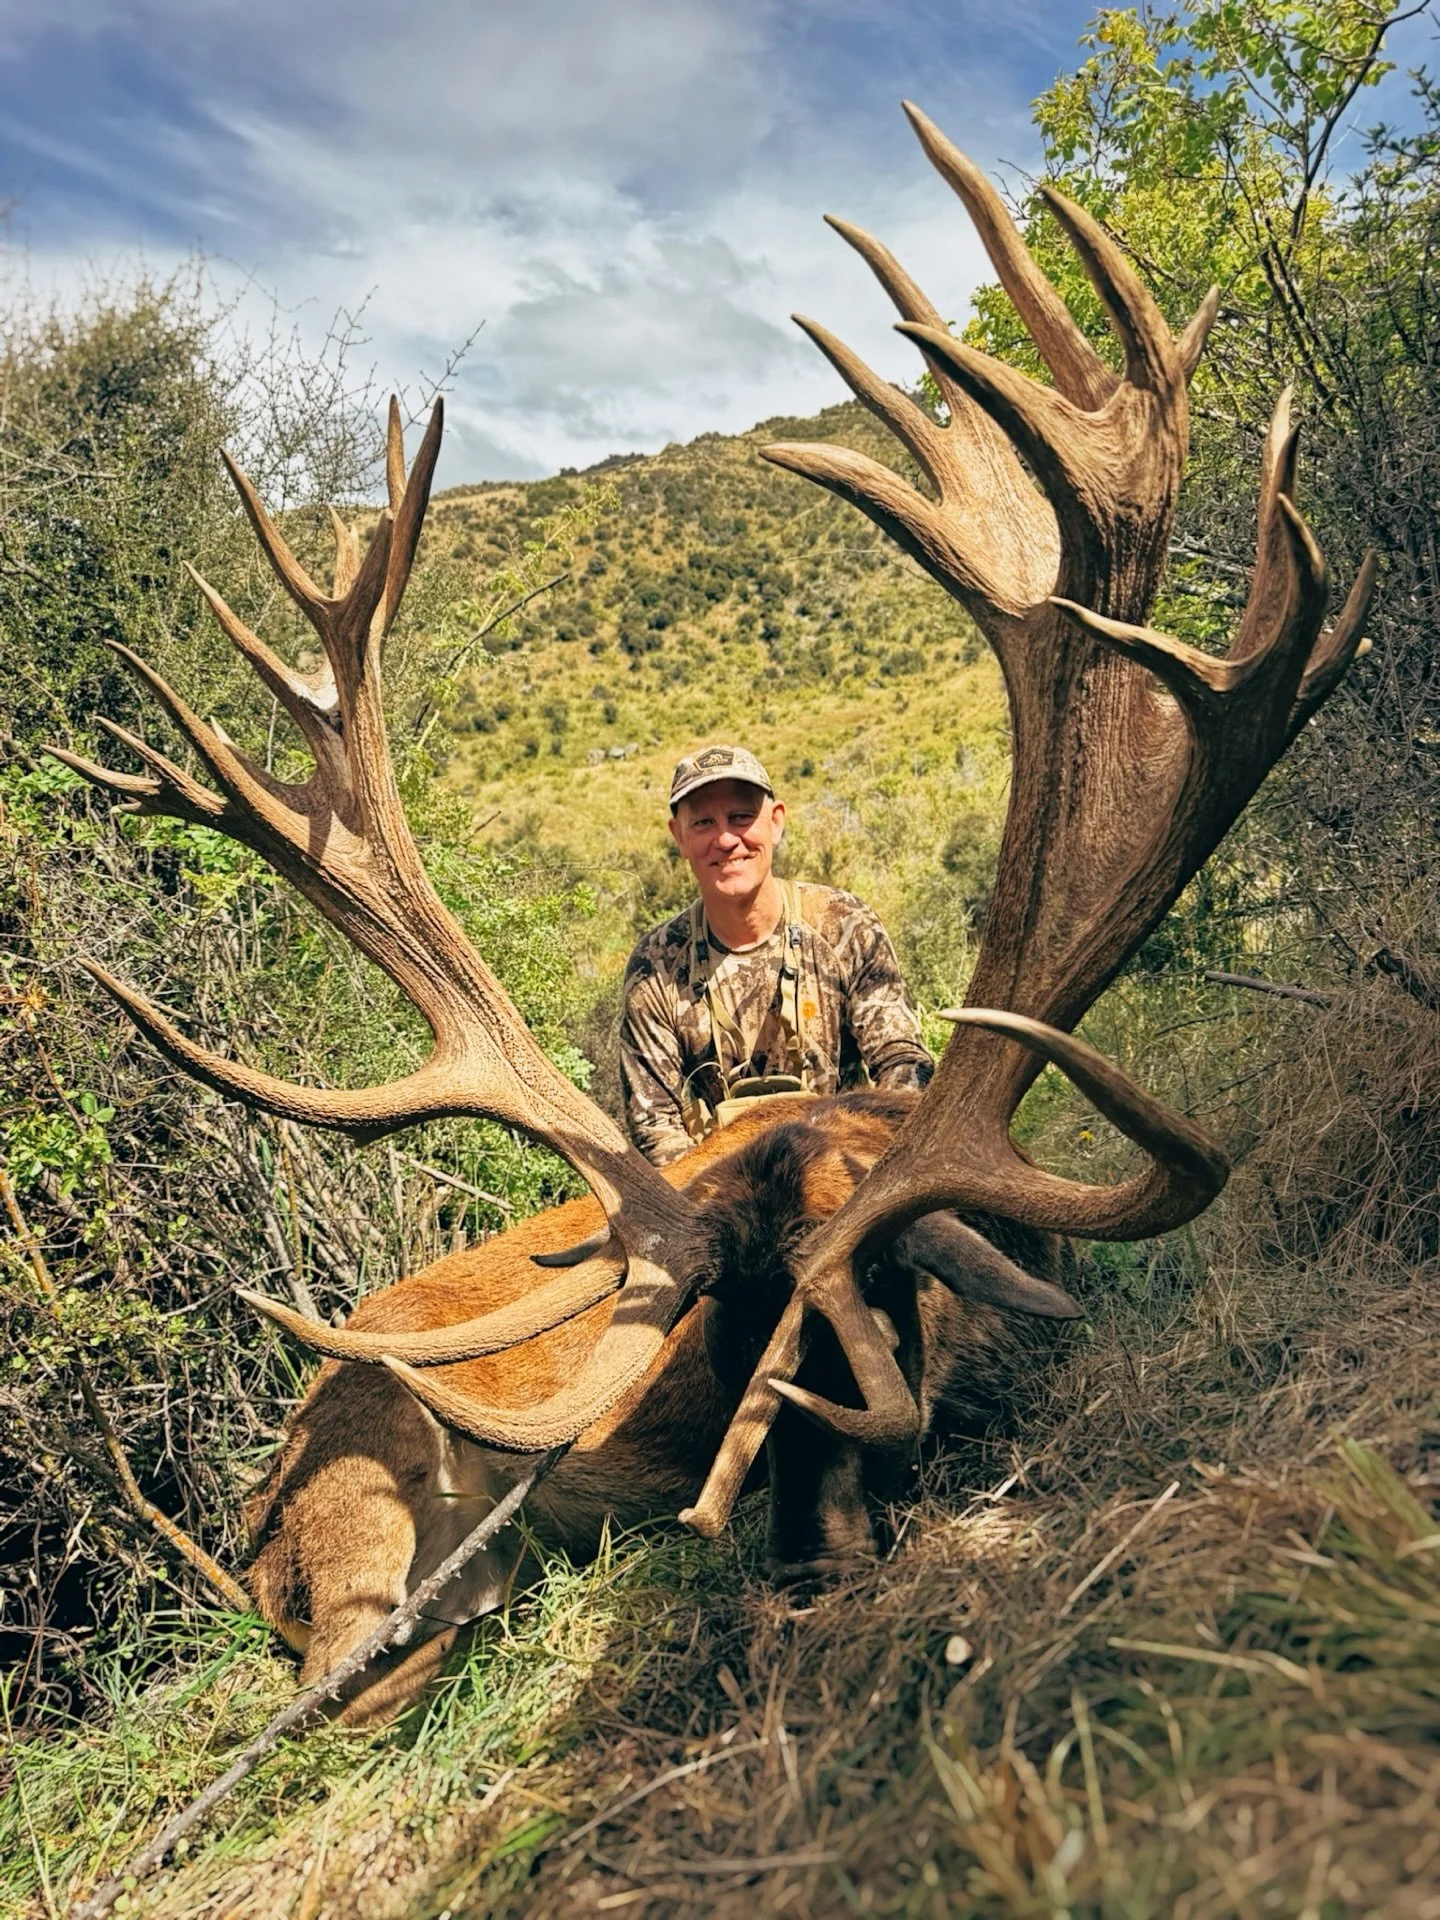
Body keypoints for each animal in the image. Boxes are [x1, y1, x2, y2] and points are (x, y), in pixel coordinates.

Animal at [51, 103, 1372, 1726]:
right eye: (726, 1347)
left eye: (866, 1317)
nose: (795, 1562)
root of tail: (247, 1526)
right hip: (367, 1529)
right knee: (350, 1680)